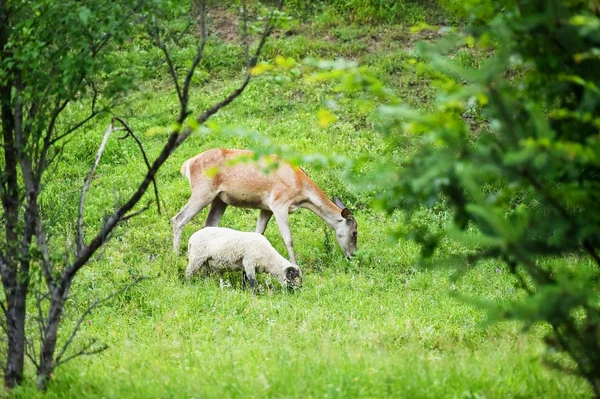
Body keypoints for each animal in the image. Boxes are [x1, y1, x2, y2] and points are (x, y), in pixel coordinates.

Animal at [170, 148, 356, 264]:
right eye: (355, 232)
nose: (352, 255)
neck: (300, 189)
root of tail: (187, 164)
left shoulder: (266, 208)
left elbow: (259, 233)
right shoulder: (279, 203)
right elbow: (289, 239)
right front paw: (296, 265)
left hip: (219, 200)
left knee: (208, 225)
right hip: (203, 192)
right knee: (178, 219)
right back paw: (175, 256)